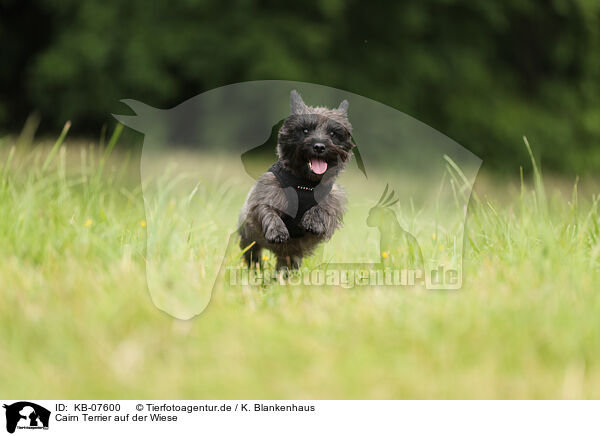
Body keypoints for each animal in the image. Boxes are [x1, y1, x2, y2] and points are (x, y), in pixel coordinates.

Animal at [237, 90, 354, 270]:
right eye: (305, 130)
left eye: (333, 133)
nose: (319, 146)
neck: (305, 183)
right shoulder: (264, 195)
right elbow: (267, 210)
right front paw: (277, 231)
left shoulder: (333, 200)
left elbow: (325, 207)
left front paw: (313, 220)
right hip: (250, 239)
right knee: (252, 253)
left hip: (291, 257)